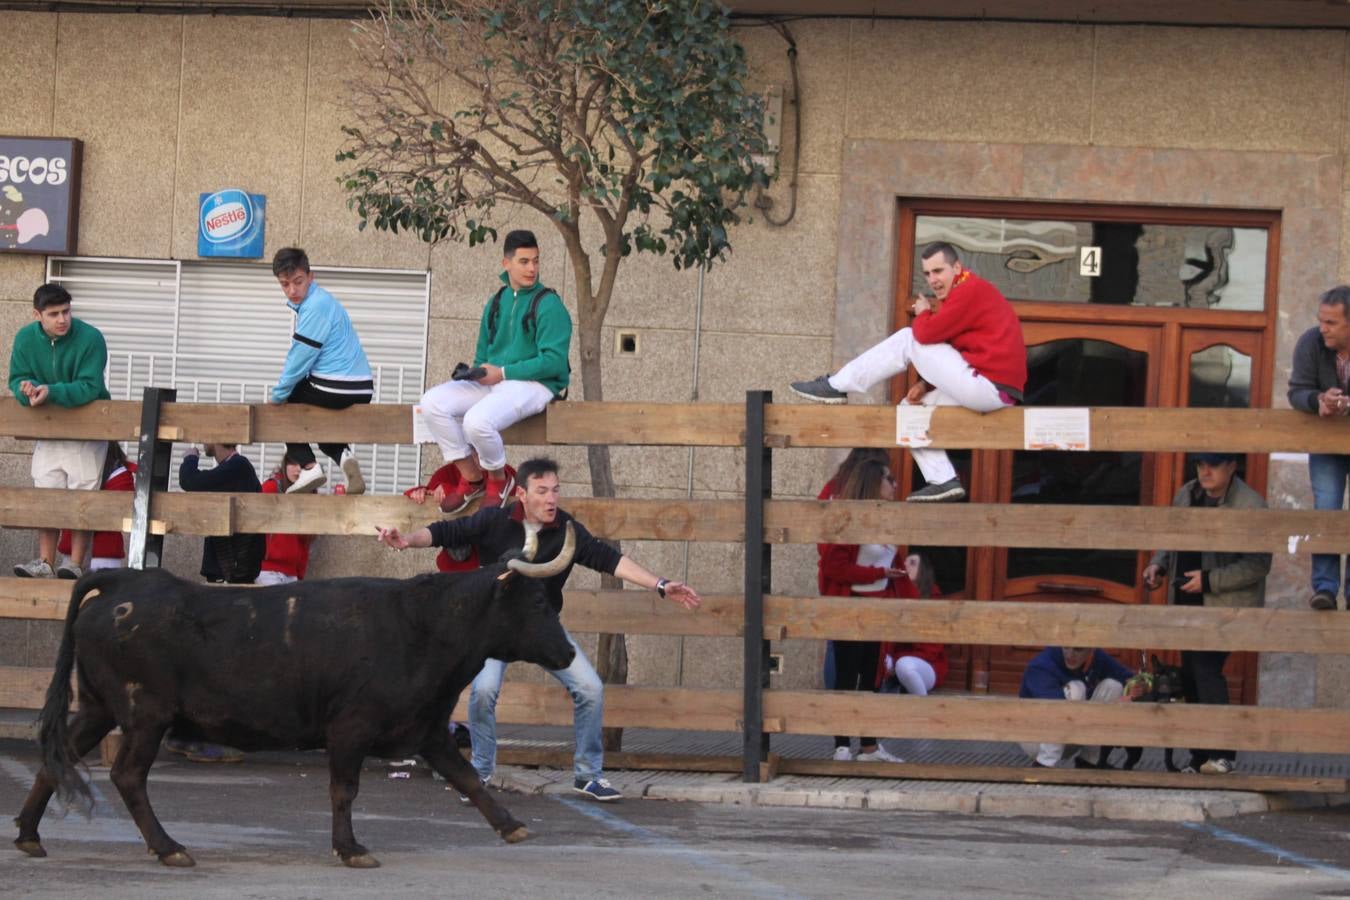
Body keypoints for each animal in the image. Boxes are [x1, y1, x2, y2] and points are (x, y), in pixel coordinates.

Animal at [11, 523, 580, 868]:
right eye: (537, 602)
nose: (569, 653)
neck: (424, 625)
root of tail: (121, 585)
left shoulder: (428, 730)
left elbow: (468, 779)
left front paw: (512, 826)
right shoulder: (350, 728)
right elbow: (344, 790)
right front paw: (350, 849)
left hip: (98, 708)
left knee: (56, 758)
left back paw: (29, 835)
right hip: (146, 715)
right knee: (127, 775)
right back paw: (169, 847)